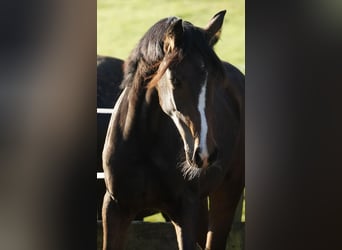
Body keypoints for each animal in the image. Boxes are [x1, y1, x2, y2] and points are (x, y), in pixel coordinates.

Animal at [101, 10, 243, 250]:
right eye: (175, 80)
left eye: (216, 80)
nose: (204, 153)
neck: (143, 143)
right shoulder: (114, 208)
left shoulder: (184, 213)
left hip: (227, 192)